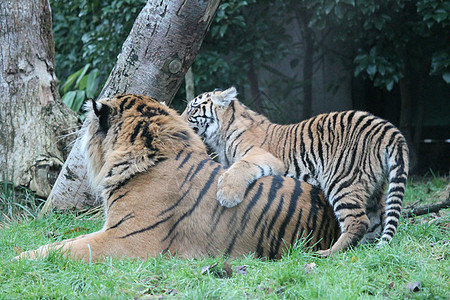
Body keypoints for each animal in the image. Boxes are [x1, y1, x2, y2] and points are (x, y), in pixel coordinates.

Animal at [15, 94, 340, 262]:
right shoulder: (112, 230)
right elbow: (64, 243)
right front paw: (20, 251)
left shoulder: (127, 239)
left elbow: (67, 249)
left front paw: (16, 260)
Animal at [182, 87, 408, 258]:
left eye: (193, 107)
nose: (181, 119)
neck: (222, 134)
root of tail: (386, 127)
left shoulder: (264, 156)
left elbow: (240, 167)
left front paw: (227, 195)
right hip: (373, 189)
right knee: (376, 222)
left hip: (341, 180)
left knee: (358, 221)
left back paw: (328, 253)